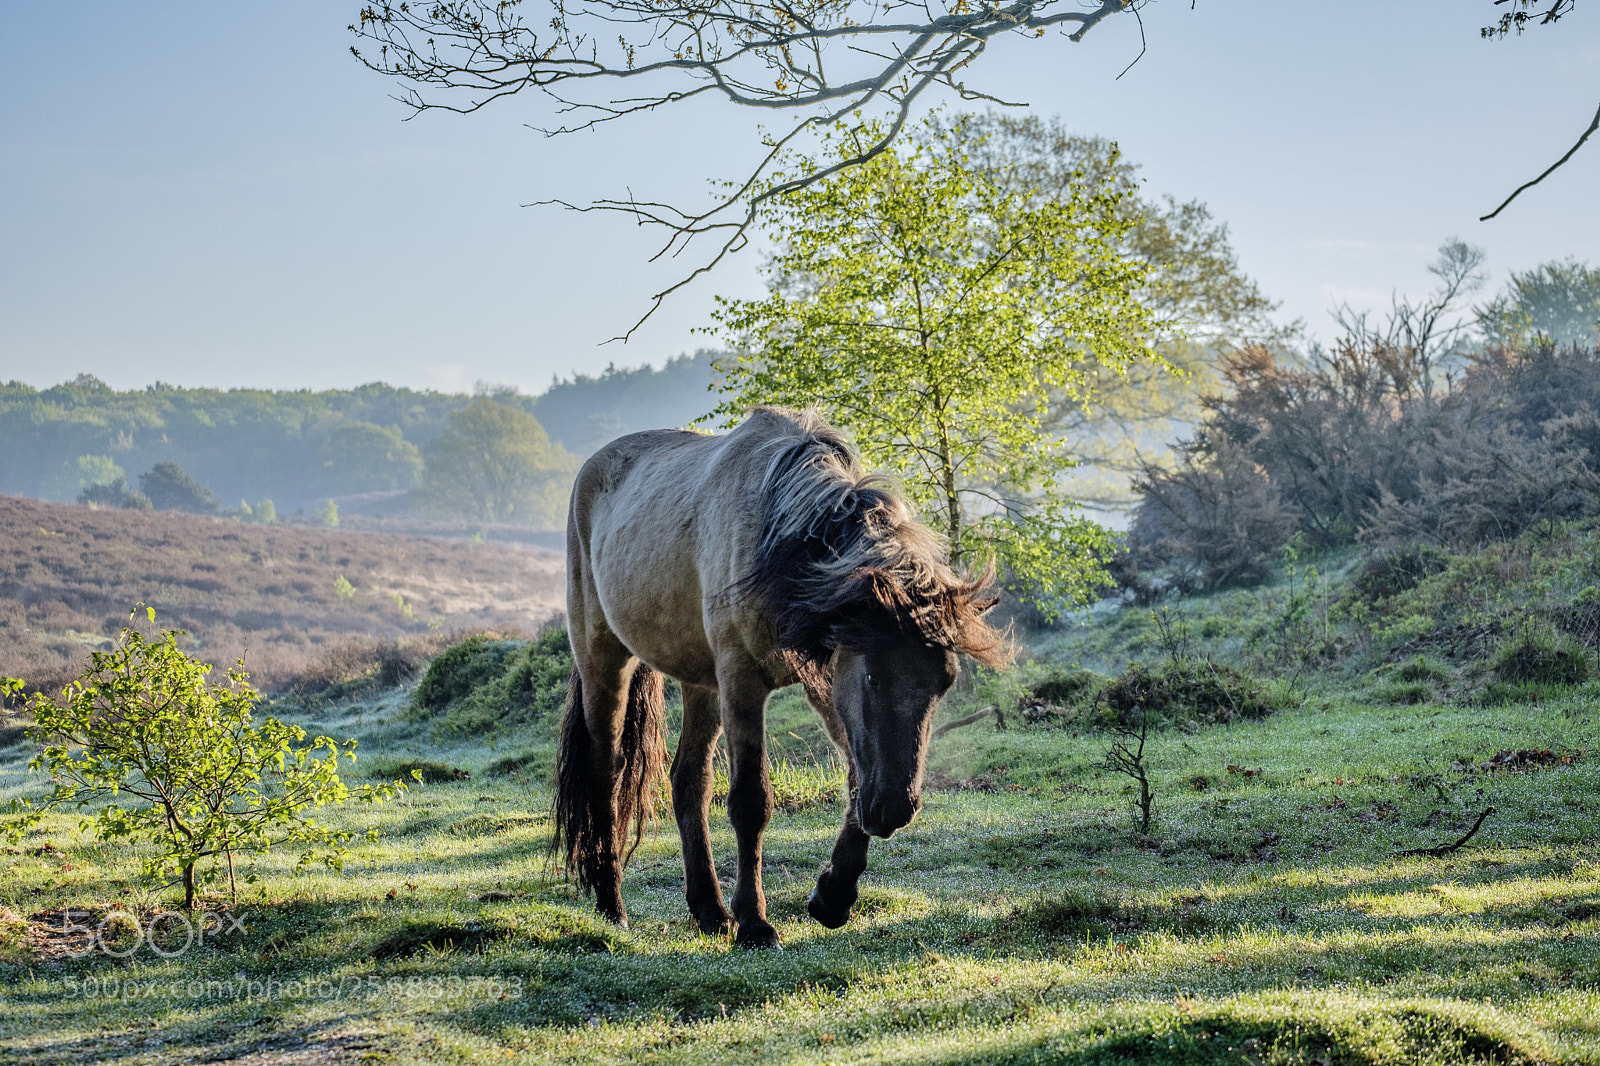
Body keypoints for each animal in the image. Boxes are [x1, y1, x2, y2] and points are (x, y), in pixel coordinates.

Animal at [553, 406, 1003, 948]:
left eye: (945, 683)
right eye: (874, 678)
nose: (896, 809)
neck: (780, 540)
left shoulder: (823, 678)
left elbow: (856, 775)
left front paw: (833, 895)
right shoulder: (742, 680)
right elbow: (751, 801)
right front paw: (754, 923)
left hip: (700, 682)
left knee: (689, 781)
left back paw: (709, 910)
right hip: (604, 660)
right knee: (606, 772)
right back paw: (612, 904)